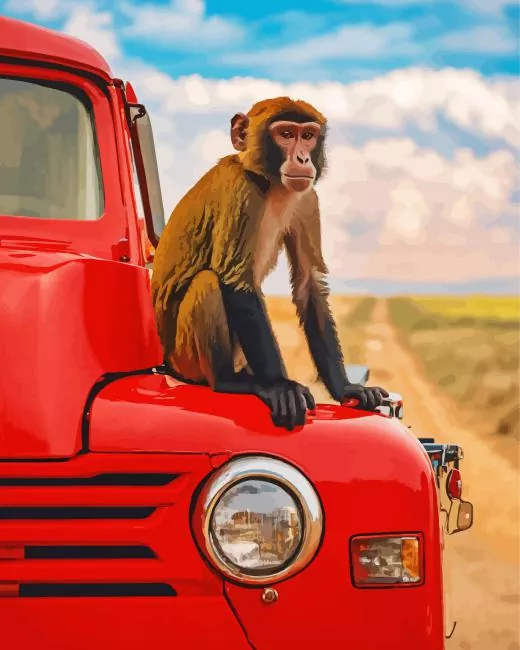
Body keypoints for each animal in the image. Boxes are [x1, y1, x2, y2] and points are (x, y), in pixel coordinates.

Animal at [151, 96, 388, 430]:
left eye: (308, 135)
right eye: (286, 134)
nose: (303, 158)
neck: (269, 183)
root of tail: (166, 365)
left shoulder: (306, 197)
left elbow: (309, 282)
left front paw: (345, 387)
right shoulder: (240, 189)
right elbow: (234, 279)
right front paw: (280, 386)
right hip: (185, 360)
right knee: (207, 282)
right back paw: (228, 380)